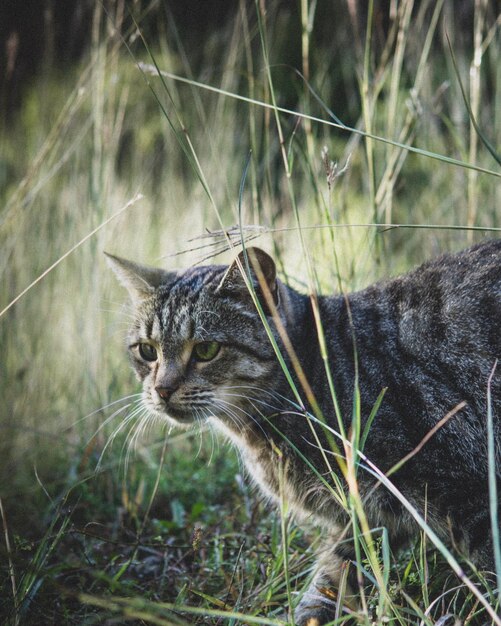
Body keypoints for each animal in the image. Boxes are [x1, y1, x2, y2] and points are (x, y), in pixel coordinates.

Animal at [106, 238, 500, 620]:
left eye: (206, 349)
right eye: (147, 351)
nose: (162, 389)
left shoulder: (470, 492)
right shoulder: (364, 518)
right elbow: (332, 578)